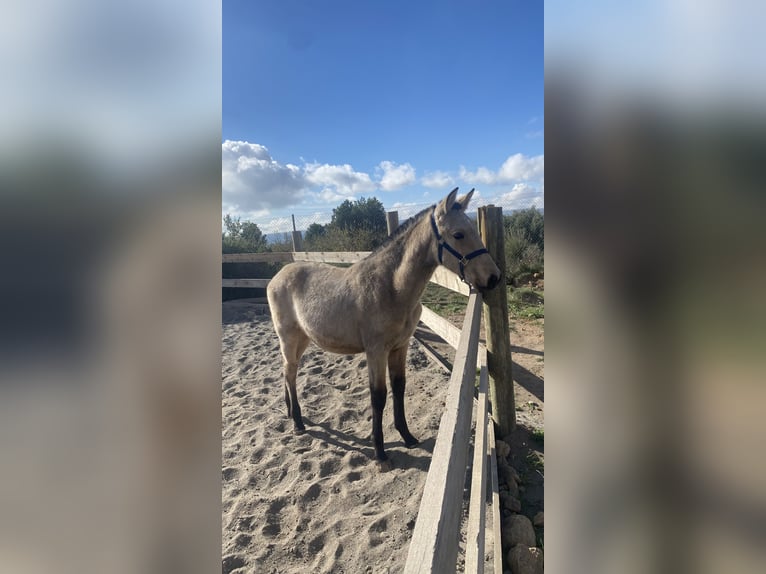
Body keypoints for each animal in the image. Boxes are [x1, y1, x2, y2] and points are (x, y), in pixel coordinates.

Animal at [268, 189, 500, 464]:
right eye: (458, 234)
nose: (494, 278)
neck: (391, 286)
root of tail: (278, 275)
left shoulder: (400, 347)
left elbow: (399, 388)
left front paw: (407, 436)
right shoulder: (376, 352)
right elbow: (378, 397)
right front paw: (379, 451)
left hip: (303, 339)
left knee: (287, 372)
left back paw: (290, 412)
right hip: (289, 338)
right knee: (290, 373)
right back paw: (298, 422)